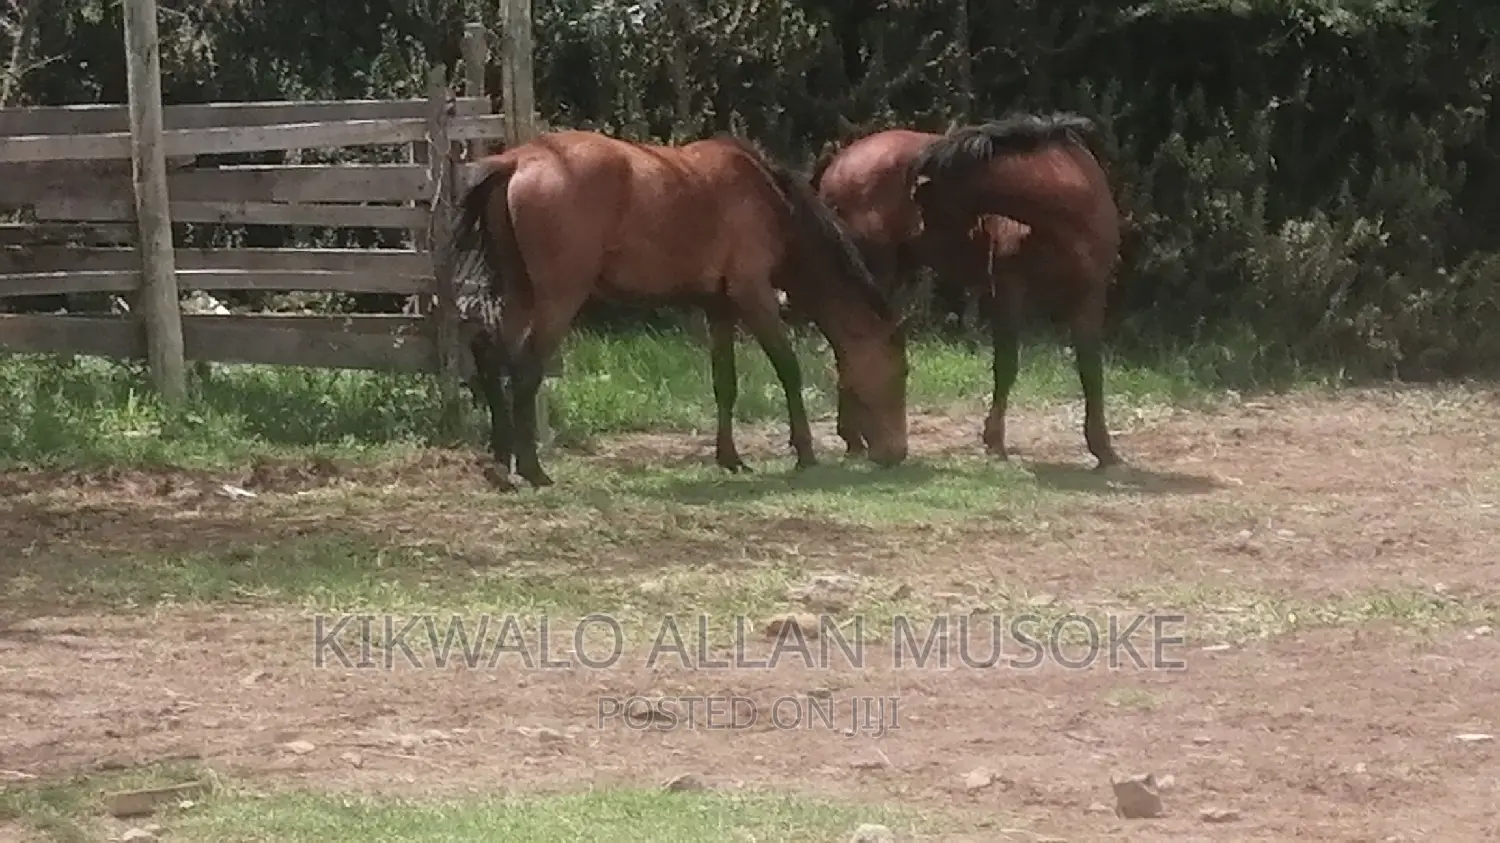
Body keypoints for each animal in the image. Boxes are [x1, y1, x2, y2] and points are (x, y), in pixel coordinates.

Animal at [448, 129, 910, 491]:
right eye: (901, 373)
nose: (897, 453)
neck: (769, 200)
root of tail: (517, 159)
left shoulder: (718, 307)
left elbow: (725, 383)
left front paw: (730, 457)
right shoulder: (753, 296)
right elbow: (788, 367)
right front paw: (805, 451)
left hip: (521, 293)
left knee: (491, 357)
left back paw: (500, 466)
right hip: (558, 298)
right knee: (526, 370)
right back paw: (532, 470)